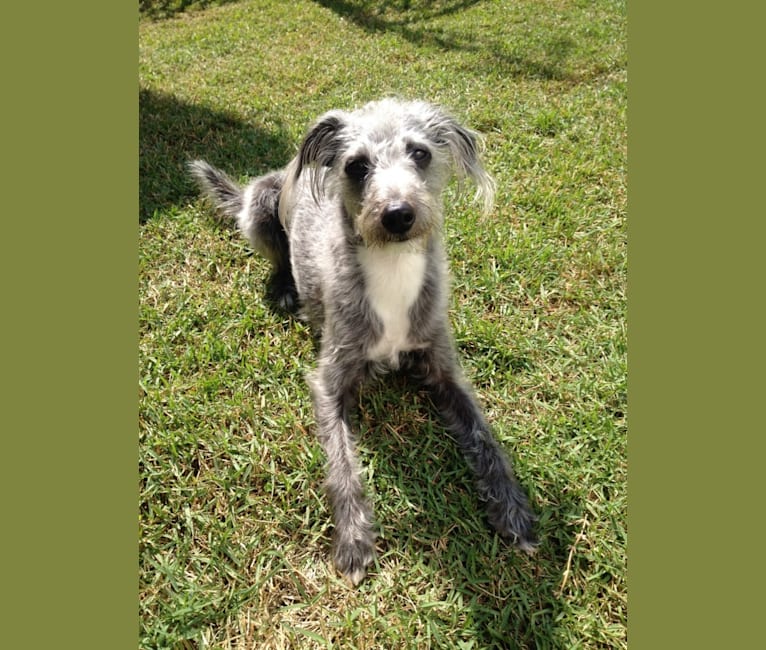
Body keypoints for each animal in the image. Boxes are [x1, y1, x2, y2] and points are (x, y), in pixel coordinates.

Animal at [192, 98, 540, 584]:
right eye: (356, 166)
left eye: (420, 154)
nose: (398, 213)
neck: (391, 265)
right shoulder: (330, 381)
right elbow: (343, 465)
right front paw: (354, 540)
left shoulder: (444, 370)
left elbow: (485, 438)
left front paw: (511, 507)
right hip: (261, 204)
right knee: (276, 251)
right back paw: (283, 286)